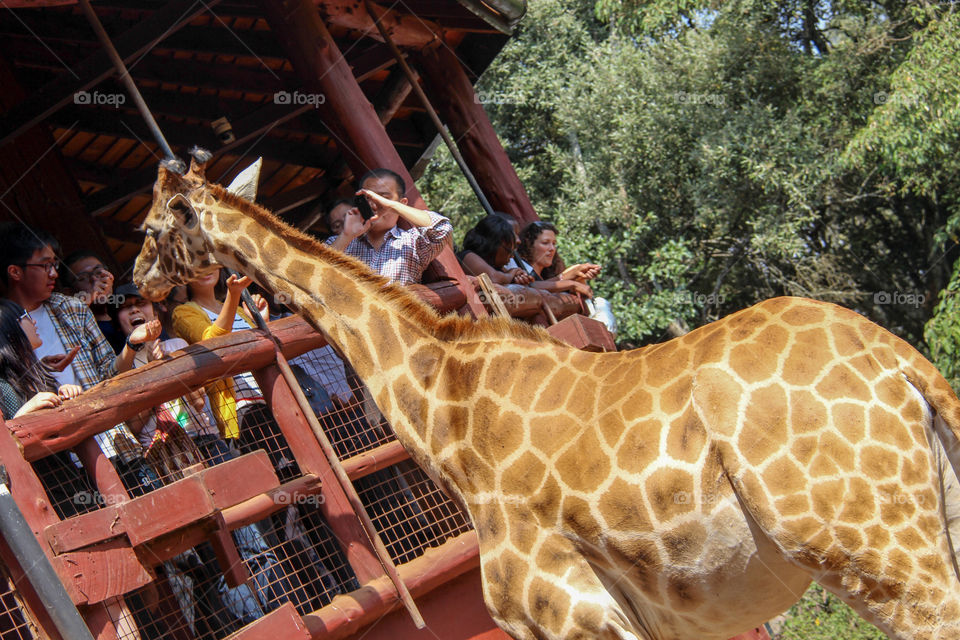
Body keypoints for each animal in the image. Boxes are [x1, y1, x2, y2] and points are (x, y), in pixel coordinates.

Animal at [133, 151, 960, 640]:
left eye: (147, 228)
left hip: (867, 545)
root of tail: (902, 364)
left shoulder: (571, 616)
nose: (138, 285)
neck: (446, 420)